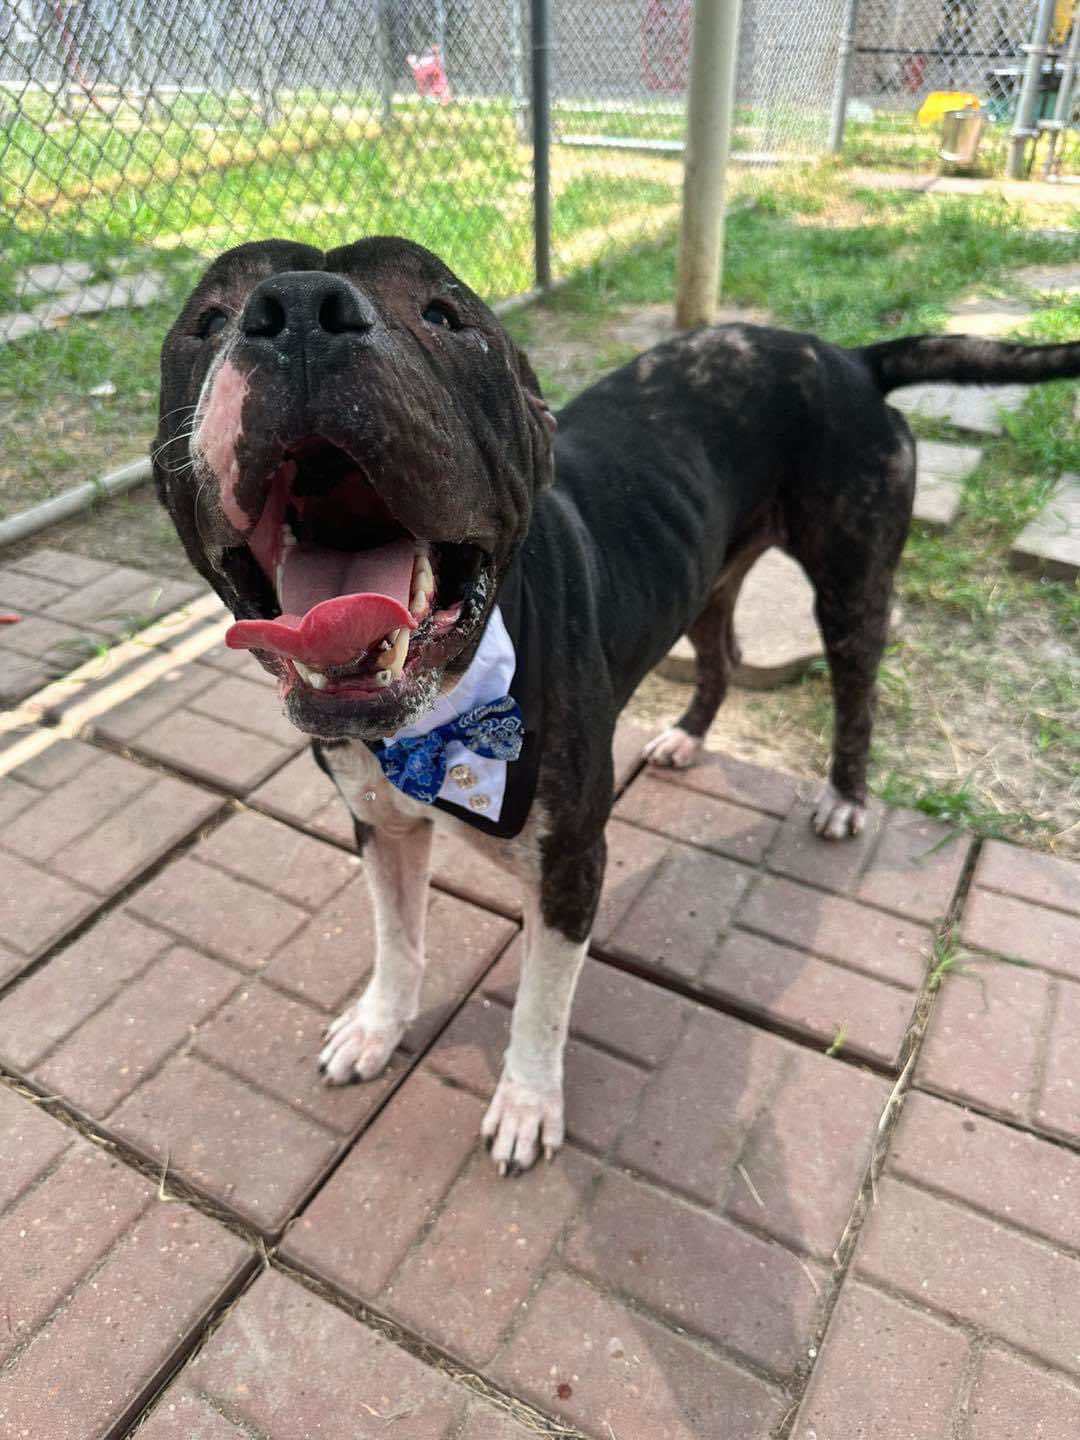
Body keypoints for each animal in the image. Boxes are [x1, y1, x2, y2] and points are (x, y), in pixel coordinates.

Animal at [152, 236, 1080, 1175]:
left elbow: (541, 1002)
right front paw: (378, 1028)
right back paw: (686, 738)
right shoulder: (382, 826)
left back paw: (845, 797)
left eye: (446, 314)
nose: (300, 308)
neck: (438, 710)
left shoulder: (570, 866)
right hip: (709, 574)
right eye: (206, 320)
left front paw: (527, 1105)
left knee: (856, 688)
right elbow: (396, 938)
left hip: (851, 582)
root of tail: (849, 357)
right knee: (719, 655)